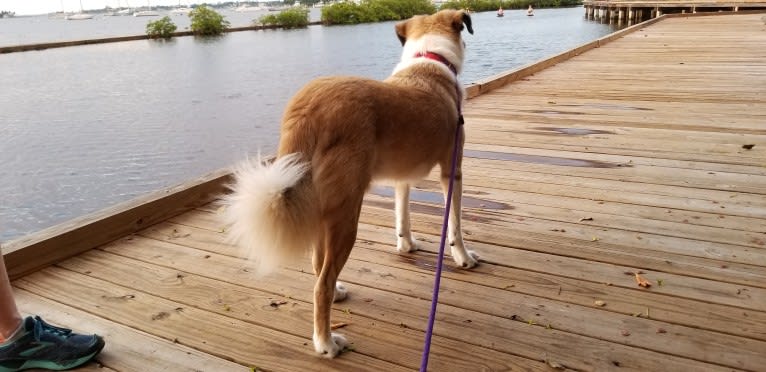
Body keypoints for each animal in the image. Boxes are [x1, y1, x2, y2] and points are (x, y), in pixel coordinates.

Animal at [222, 8, 476, 358]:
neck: (429, 59)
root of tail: (308, 107)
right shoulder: (453, 171)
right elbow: (455, 224)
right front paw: (463, 257)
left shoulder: (402, 177)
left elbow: (403, 215)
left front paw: (406, 245)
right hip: (346, 215)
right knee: (322, 282)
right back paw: (326, 342)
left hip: (323, 209)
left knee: (318, 264)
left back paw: (337, 295)